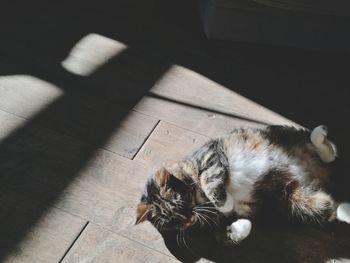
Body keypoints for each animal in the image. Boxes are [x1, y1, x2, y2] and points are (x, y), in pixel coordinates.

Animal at [135, 126, 350, 245]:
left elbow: (208, 179)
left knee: (321, 147)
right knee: (329, 208)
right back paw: (346, 209)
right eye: (172, 222)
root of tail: (315, 172)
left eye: (181, 202)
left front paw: (226, 202)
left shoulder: (211, 154)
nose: (188, 221)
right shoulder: (215, 223)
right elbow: (223, 237)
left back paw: (320, 134)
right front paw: (242, 225)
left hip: (279, 137)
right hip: (294, 199)